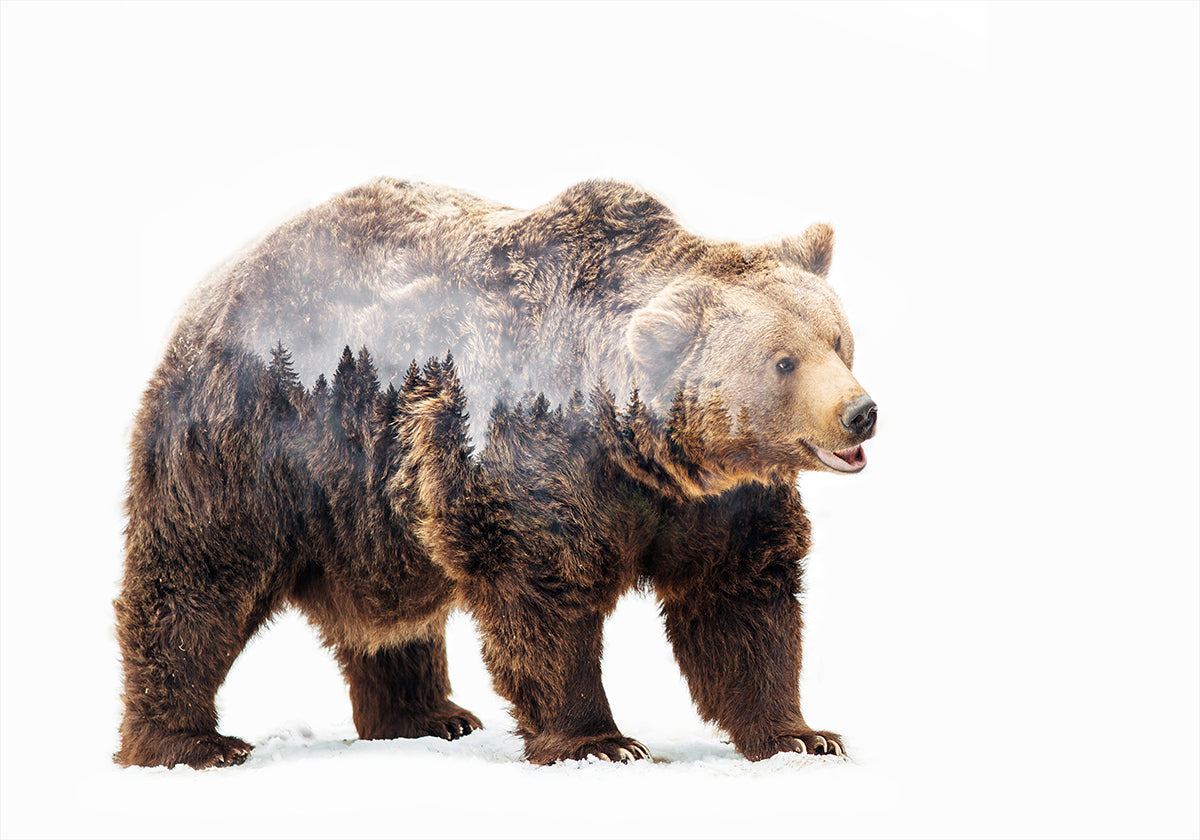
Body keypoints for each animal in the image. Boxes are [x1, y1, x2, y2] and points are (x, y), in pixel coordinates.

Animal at [114, 178, 877, 768]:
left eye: (839, 340)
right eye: (783, 361)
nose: (860, 413)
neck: (642, 450)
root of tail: (216, 283)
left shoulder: (718, 503)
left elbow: (741, 601)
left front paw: (802, 734)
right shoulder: (533, 455)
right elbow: (543, 594)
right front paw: (600, 740)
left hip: (370, 507)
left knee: (390, 615)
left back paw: (428, 715)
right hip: (253, 439)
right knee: (199, 578)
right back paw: (188, 741)